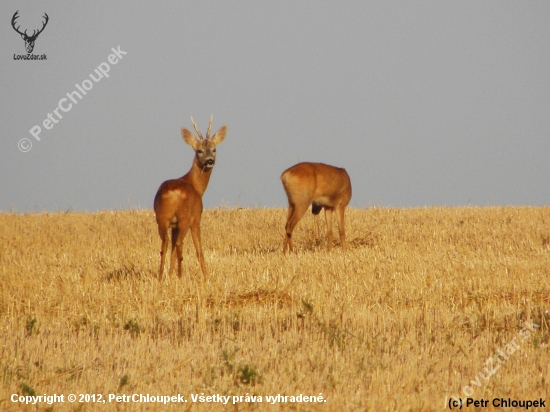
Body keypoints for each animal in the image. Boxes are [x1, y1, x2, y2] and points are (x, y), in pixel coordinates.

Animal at [154, 116, 227, 280]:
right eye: (199, 150)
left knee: (165, 244)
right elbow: (199, 250)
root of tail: (172, 192)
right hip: (185, 217)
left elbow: (172, 251)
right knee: (179, 244)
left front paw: (170, 275)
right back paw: (180, 276)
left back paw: (161, 277)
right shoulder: (196, 218)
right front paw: (206, 277)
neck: (195, 186)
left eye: (214, 149)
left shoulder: (173, 225)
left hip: (162, 218)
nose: (210, 160)